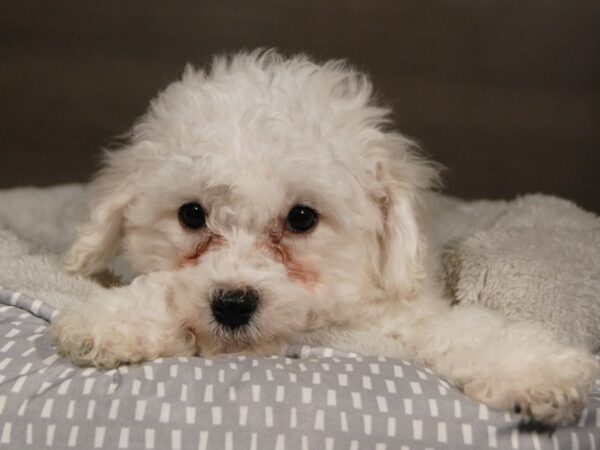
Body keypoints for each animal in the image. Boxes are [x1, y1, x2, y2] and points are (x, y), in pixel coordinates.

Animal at [52, 50, 600, 426]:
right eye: (191, 214)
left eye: (301, 218)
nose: (232, 303)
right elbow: (161, 292)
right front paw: (116, 320)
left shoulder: (408, 319)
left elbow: (468, 331)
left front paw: (536, 371)